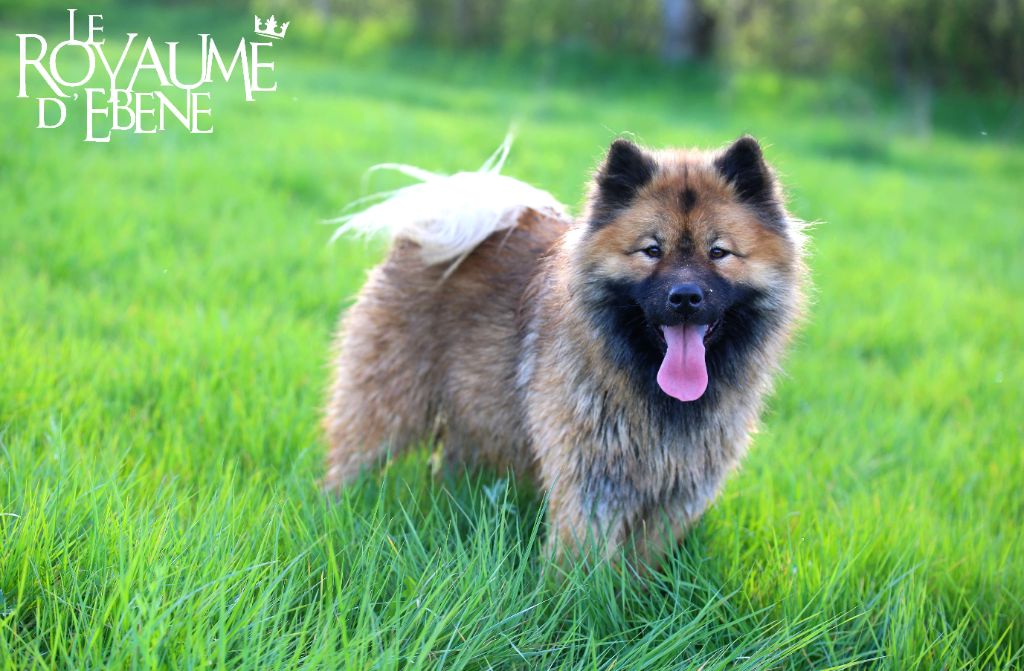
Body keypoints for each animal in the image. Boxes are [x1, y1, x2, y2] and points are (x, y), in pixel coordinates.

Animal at [323, 136, 802, 565]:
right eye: (651, 250)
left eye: (718, 252)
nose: (685, 297)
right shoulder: (590, 479)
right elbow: (581, 564)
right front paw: (579, 599)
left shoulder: (678, 490)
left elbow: (642, 563)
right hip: (386, 404)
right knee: (349, 461)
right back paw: (333, 510)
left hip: (478, 411)